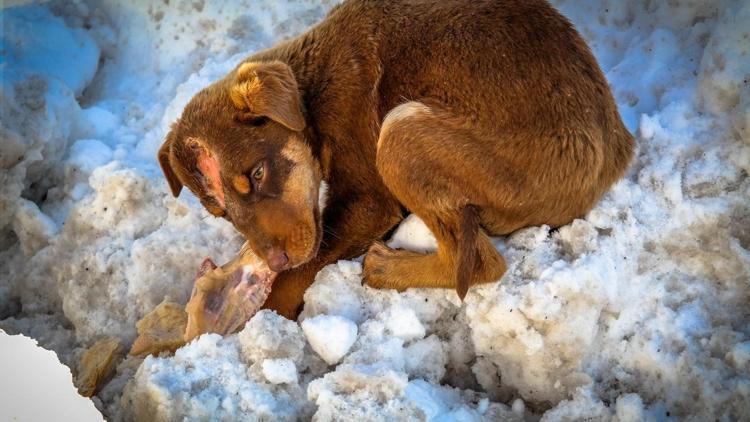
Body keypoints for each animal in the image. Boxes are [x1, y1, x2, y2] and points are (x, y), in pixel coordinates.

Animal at [157, 0, 636, 318]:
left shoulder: (370, 199)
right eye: (222, 214)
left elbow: (306, 264)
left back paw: (387, 268)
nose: (273, 262)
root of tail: (617, 151)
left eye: (256, 174)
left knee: (482, 264)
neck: (311, 92)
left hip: (402, 134)